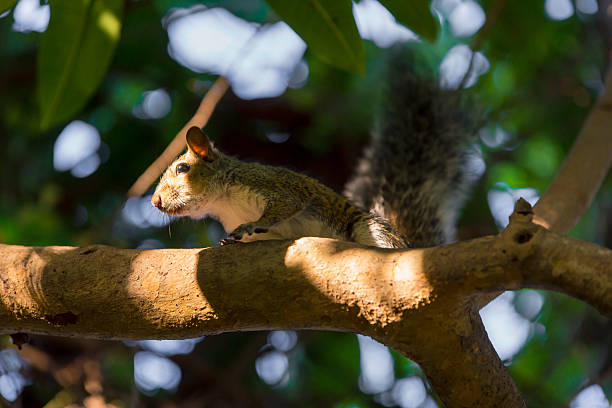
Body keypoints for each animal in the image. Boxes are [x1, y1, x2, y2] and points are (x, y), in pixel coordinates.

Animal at [151, 47, 476, 249]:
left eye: (182, 168)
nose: (155, 202)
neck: (223, 202)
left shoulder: (272, 184)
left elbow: (285, 204)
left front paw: (252, 224)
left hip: (369, 229)